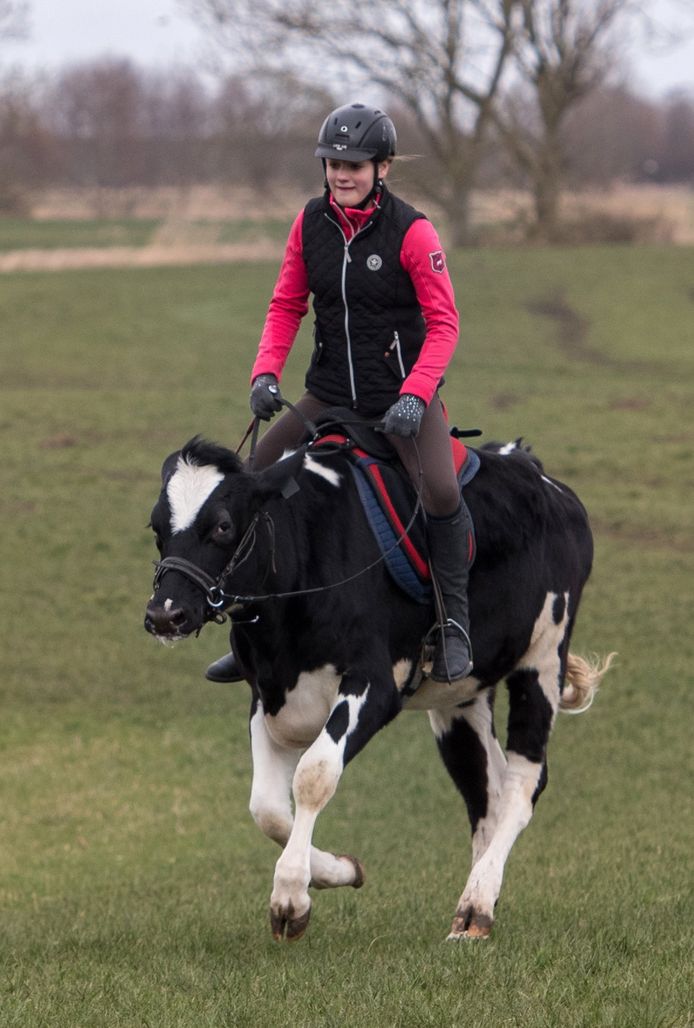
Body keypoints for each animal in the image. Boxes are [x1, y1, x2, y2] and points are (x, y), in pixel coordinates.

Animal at [143, 429, 612, 941]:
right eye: (156, 527)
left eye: (223, 526)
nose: (165, 613)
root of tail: (543, 477)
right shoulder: (266, 693)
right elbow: (267, 807)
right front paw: (340, 870)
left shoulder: (374, 684)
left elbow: (315, 775)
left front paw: (290, 897)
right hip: (461, 697)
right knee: (484, 788)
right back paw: (469, 909)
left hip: (542, 658)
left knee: (523, 784)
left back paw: (479, 904)